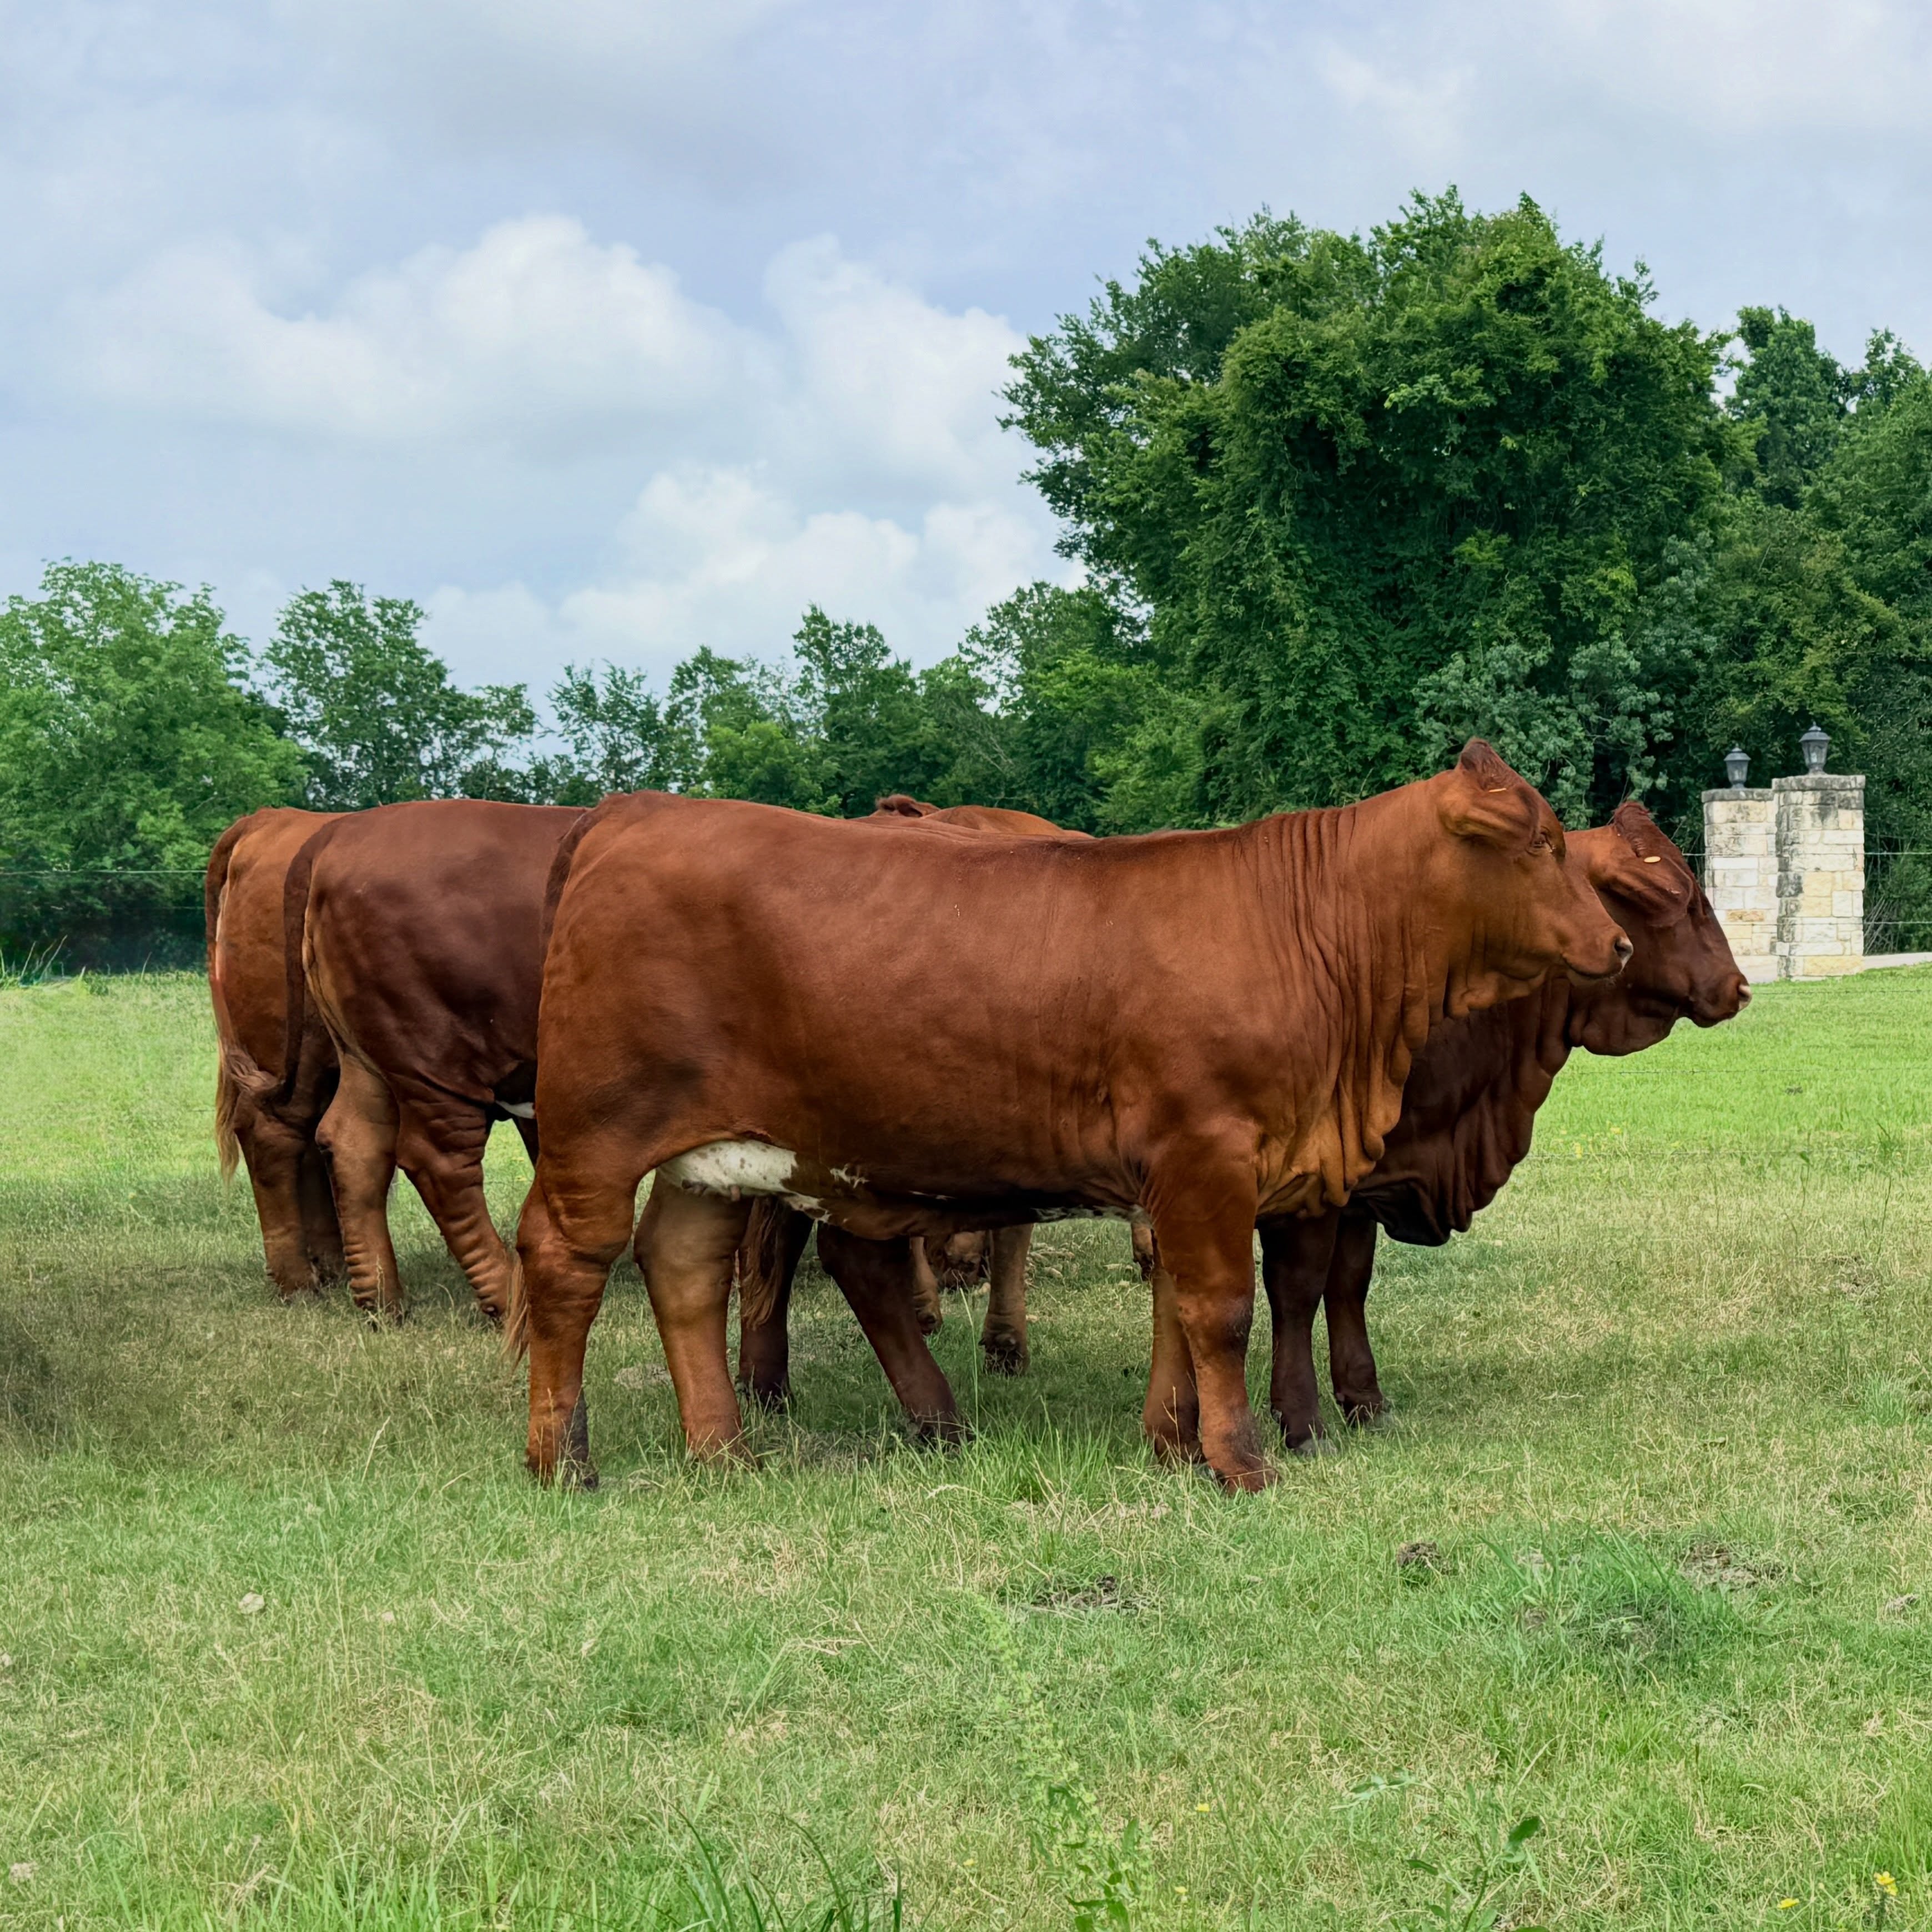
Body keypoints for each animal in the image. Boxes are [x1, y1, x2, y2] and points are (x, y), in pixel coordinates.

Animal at [509, 742, 1632, 1493]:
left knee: (684, 1268)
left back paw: (725, 1449)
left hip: (715, 1154)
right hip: (597, 1135)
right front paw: (1241, 1462)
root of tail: (629, 812)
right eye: (1542, 842)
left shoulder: (1188, 1176)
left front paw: (1174, 1444)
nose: (1619, 943)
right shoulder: (1206, 1153)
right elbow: (1221, 1309)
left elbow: (1178, 1308)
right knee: (568, 1260)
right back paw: (563, 1458)